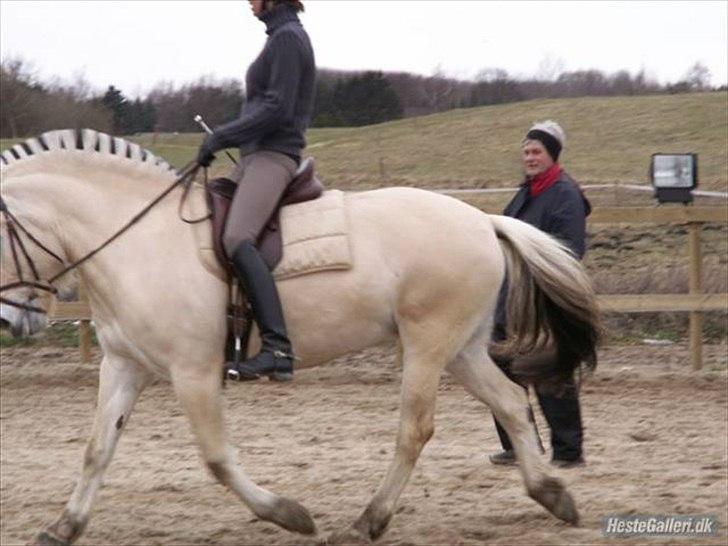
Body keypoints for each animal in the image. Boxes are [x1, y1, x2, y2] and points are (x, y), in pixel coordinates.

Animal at [0, 130, 600, 540]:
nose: (12, 322)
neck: (139, 239)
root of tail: (482, 220)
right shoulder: (124, 366)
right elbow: (97, 449)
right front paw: (64, 527)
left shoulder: (193, 372)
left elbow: (217, 458)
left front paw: (288, 514)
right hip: (462, 348)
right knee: (511, 404)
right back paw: (552, 495)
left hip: (427, 345)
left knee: (415, 429)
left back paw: (367, 522)